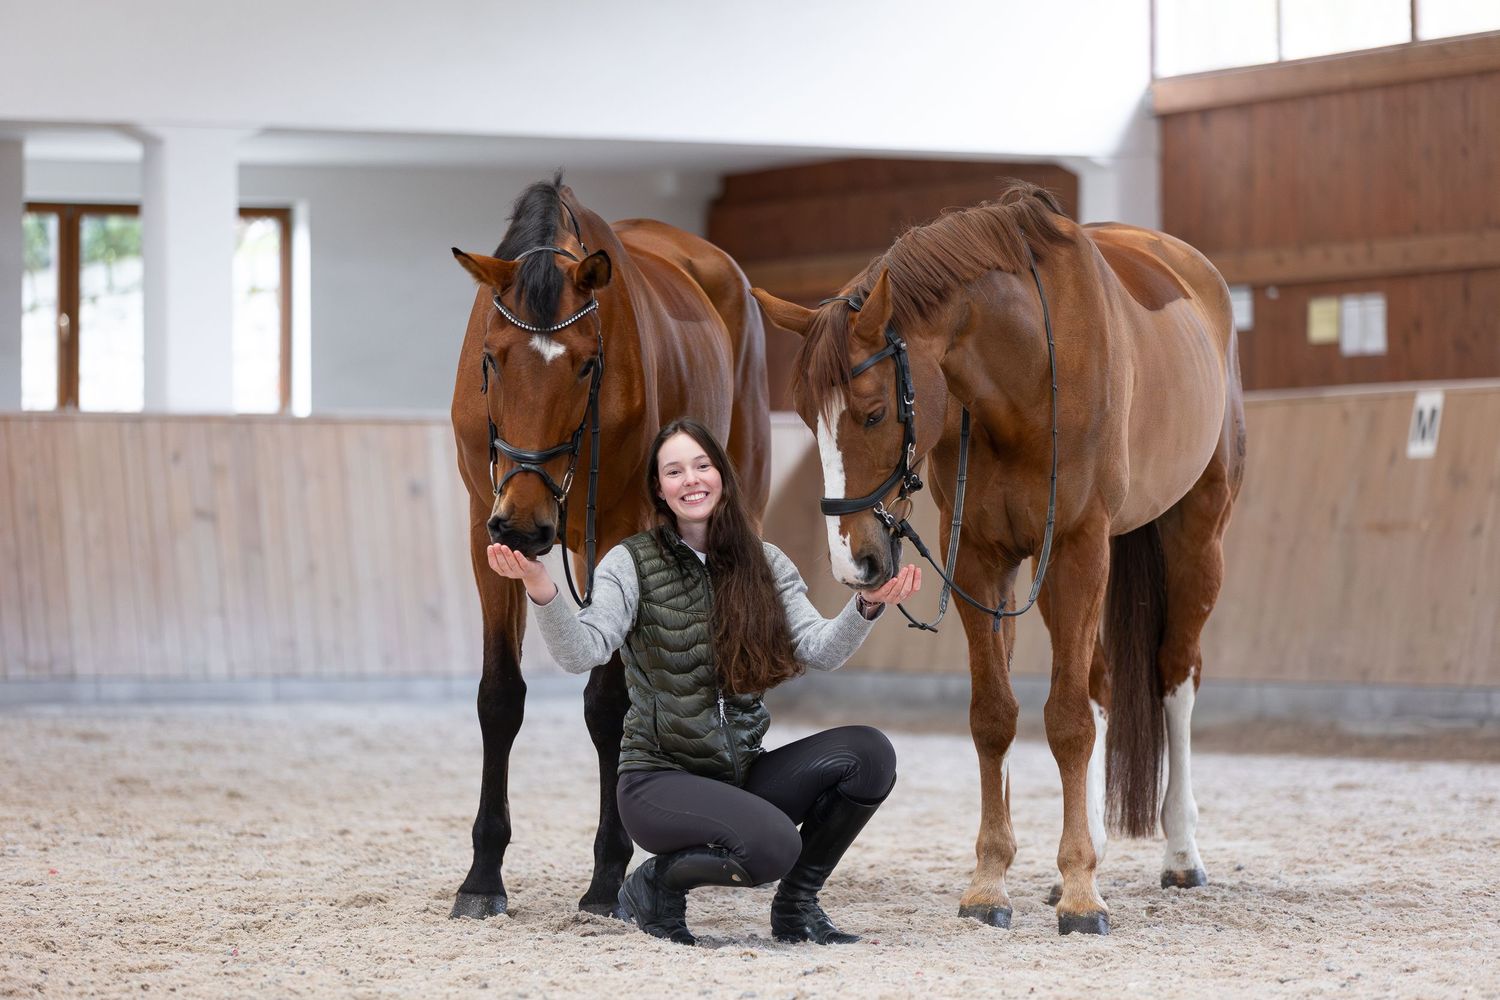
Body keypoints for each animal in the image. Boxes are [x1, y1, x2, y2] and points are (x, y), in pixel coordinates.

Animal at [448, 176, 771, 918]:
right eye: (490, 358)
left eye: (588, 365)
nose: (525, 525)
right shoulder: (484, 523)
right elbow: (499, 698)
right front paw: (482, 877)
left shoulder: (621, 531)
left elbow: (608, 707)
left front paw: (605, 875)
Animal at [752, 182, 1245, 936]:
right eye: (808, 418)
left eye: (872, 413)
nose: (852, 561)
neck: (1026, 372)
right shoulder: (982, 562)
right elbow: (995, 716)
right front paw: (992, 882)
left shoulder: (1075, 549)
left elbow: (1066, 722)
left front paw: (1081, 896)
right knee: (1100, 682)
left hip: (1194, 538)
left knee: (1174, 677)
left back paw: (1181, 855)